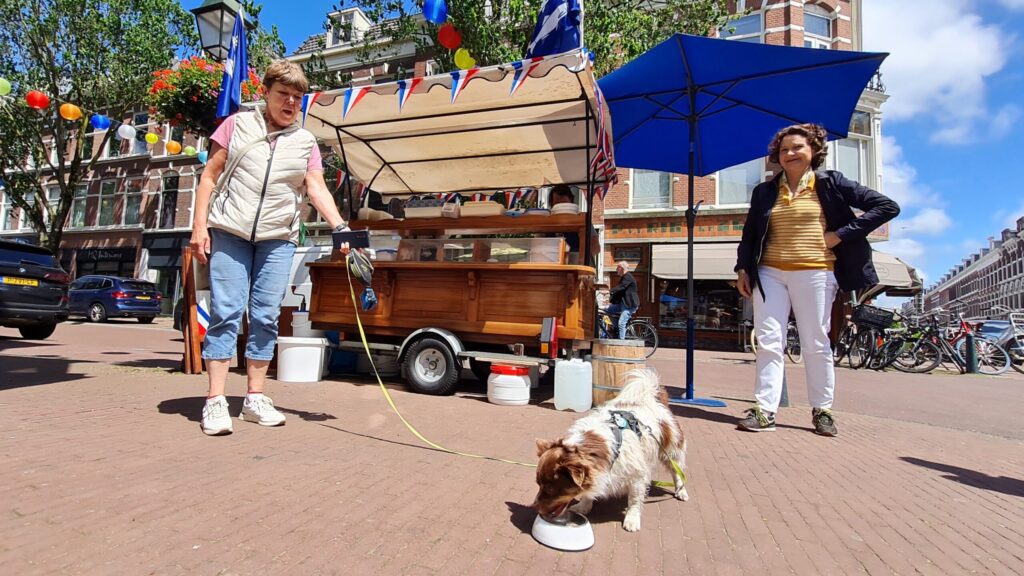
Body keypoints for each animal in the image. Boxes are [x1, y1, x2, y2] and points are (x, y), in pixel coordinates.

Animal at [536, 366, 688, 528]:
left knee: (677, 472)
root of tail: (653, 397)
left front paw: (632, 519)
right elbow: (588, 492)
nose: (535, 507)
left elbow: (634, 499)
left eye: (550, 489)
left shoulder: (637, 475)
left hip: (672, 450)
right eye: (538, 484)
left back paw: (681, 491)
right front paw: (583, 506)